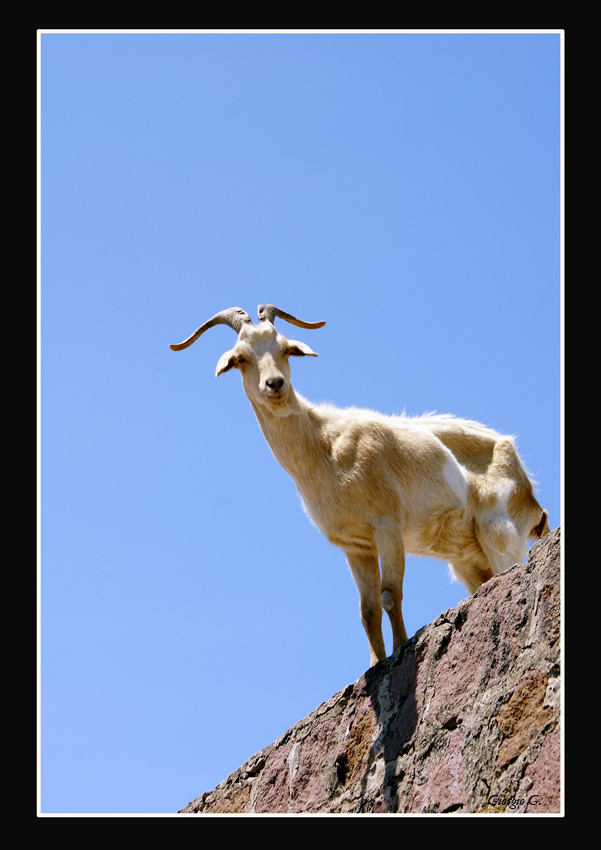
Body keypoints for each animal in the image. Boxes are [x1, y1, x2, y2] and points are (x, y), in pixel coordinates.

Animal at [170, 304, 550, 668]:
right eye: (241, 358)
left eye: (286, 349)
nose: (275, 385)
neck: (326, 446)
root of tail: (530, 491)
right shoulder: (355, 546)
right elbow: (367, 611)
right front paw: (374, 663)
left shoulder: (387, 525)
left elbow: (390, 593)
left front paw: (399, 650)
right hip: (468, 560)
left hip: (498, 531)